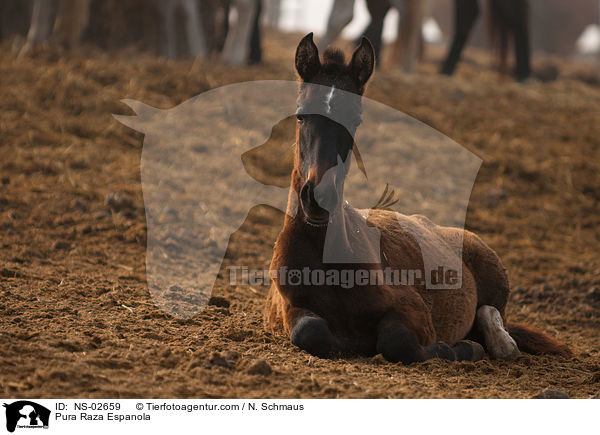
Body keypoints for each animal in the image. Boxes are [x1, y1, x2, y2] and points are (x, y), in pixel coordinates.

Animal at [264, 32, 572, 362]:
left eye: (356, 119)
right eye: (300, 115)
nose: (319, 197)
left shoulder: (412, 309)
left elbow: (396, 340)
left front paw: (459, 348)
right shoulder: (289, 310)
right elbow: (310, 331)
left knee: (494, 315)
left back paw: (498, 343)